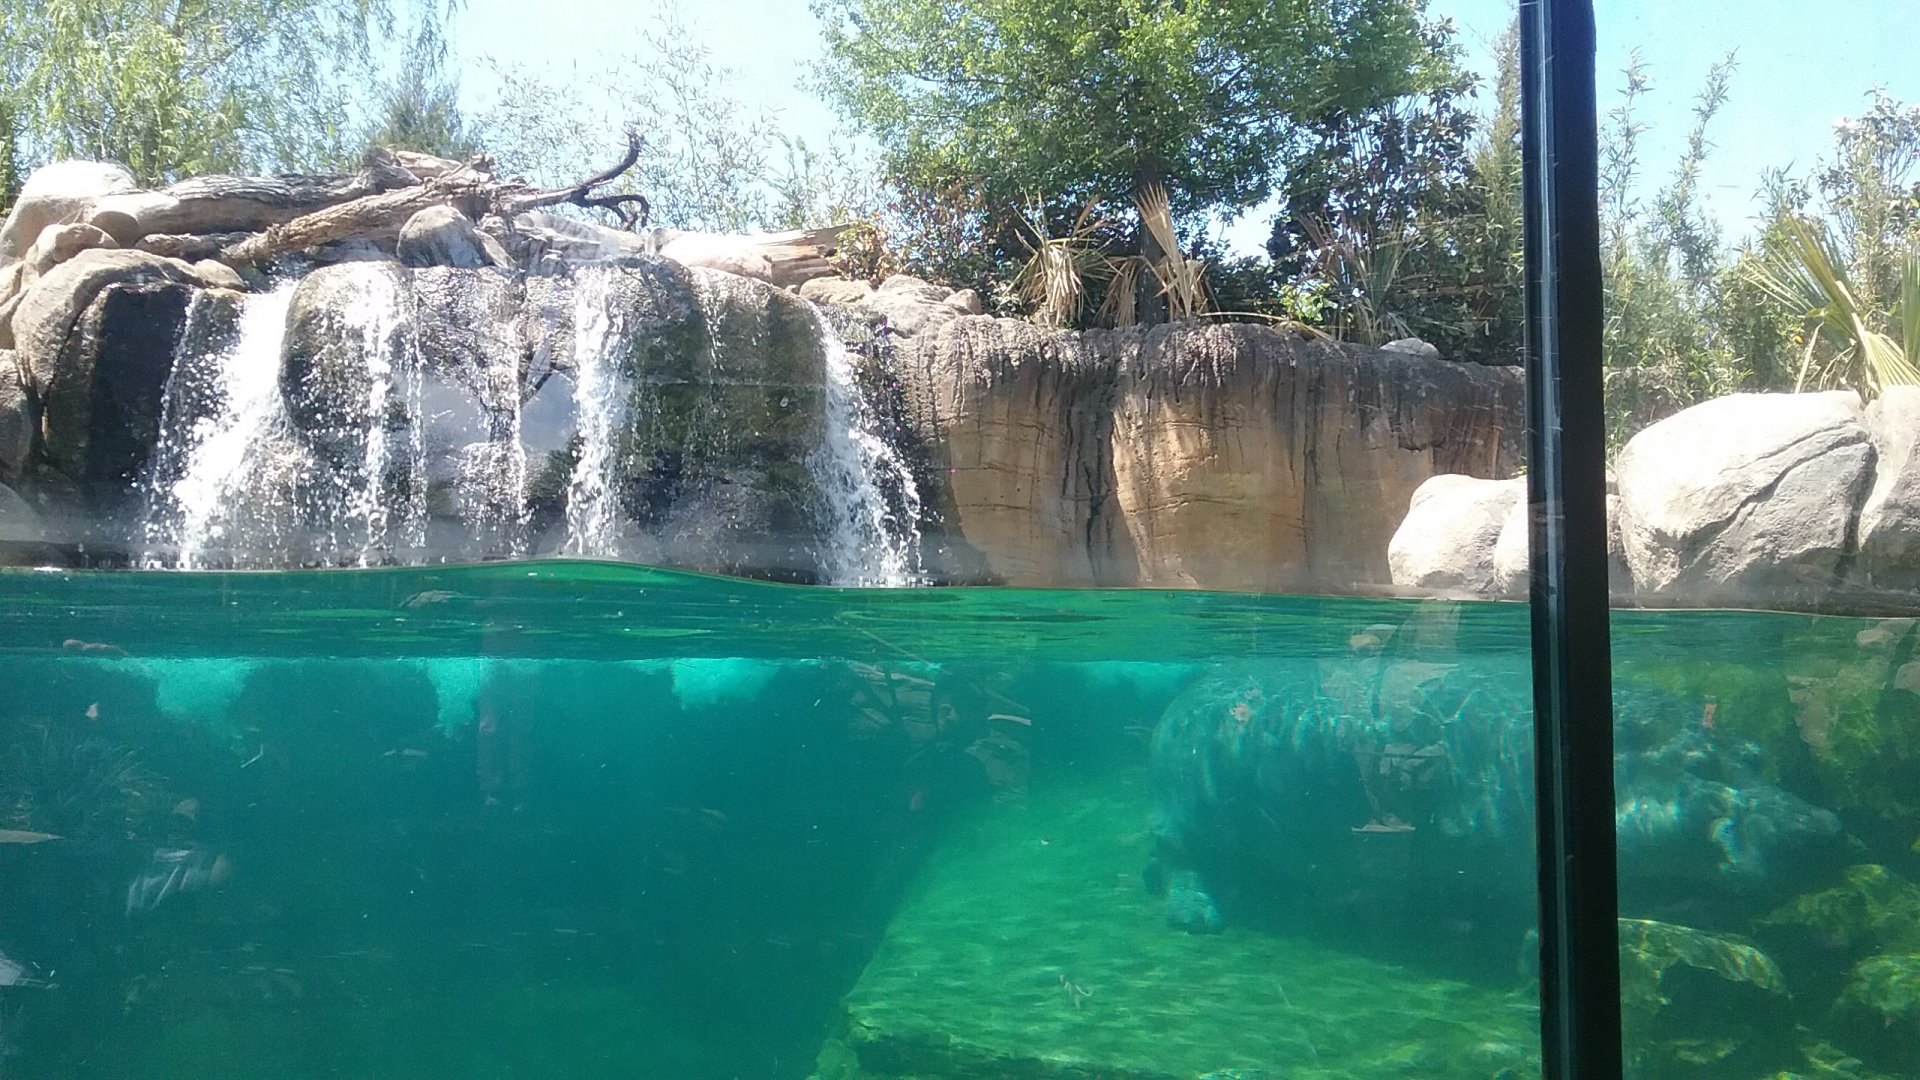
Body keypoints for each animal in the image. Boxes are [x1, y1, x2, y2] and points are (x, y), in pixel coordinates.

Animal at [1147, 657, 1845, 935]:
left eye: (1755, 754)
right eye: (1697, 762)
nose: (1822, 829)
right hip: (1188, 814)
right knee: (1171, 855)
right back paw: (1198, 916)